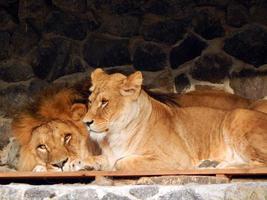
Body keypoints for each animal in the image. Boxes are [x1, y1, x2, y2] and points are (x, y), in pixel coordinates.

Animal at [83, 69, 267, 170]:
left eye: (104, 102)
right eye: (90, 101)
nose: (86, 123)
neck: (115, 135)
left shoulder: (178, 159)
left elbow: (121, 162)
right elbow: (98, 158)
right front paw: (85, 164)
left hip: (238, 116)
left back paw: (219, 166)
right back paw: (210, 164)